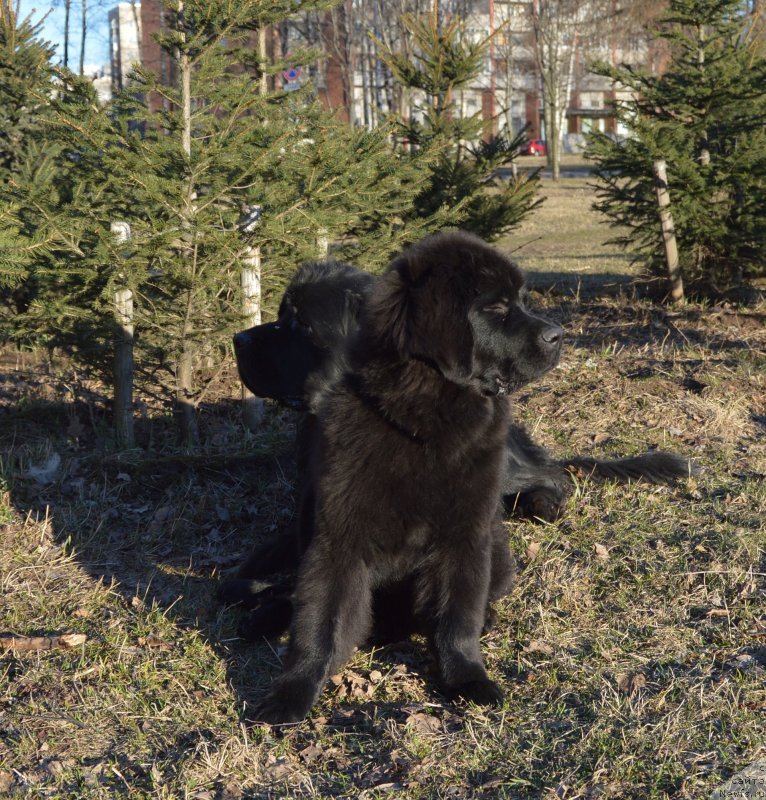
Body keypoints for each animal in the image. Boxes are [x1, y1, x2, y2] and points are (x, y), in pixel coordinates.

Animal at [252, 230, 564, 724]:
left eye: (520, 301)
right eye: (497, 307)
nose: (560, 336)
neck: (424, 426)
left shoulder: (465, 535)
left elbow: (457, 618)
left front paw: (467, 678)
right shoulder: (336, 539)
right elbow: (318, 623)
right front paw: (291, 694)